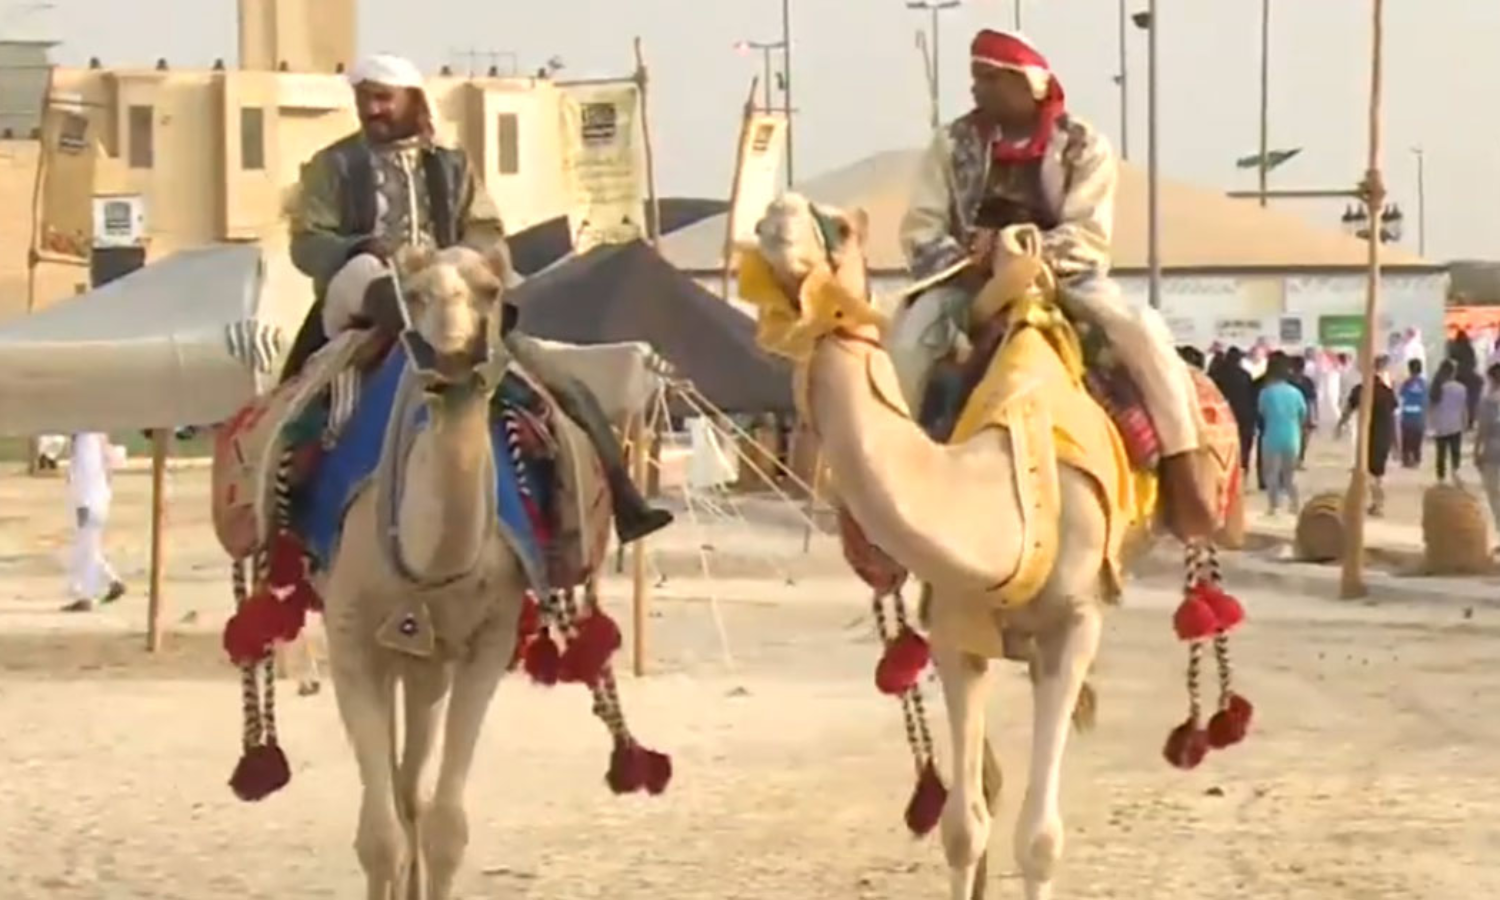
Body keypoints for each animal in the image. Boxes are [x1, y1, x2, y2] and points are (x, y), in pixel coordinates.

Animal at [741, 195, 1244, 900]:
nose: (778, 222)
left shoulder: (1073, 625)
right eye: (764, 226)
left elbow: (1039, 839)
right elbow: (963, 825)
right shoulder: (955, 628)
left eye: (837, 227)